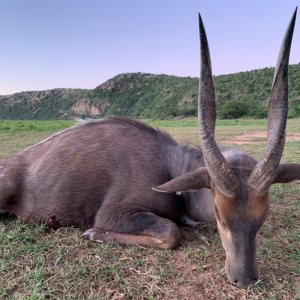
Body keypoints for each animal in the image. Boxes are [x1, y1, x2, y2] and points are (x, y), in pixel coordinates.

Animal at [0, 9, 300, 288]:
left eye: (262, 216)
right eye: (219, 213)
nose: (244, 279)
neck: (172, 166)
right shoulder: (116, 213)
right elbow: (171, 233)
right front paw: (92, 233)